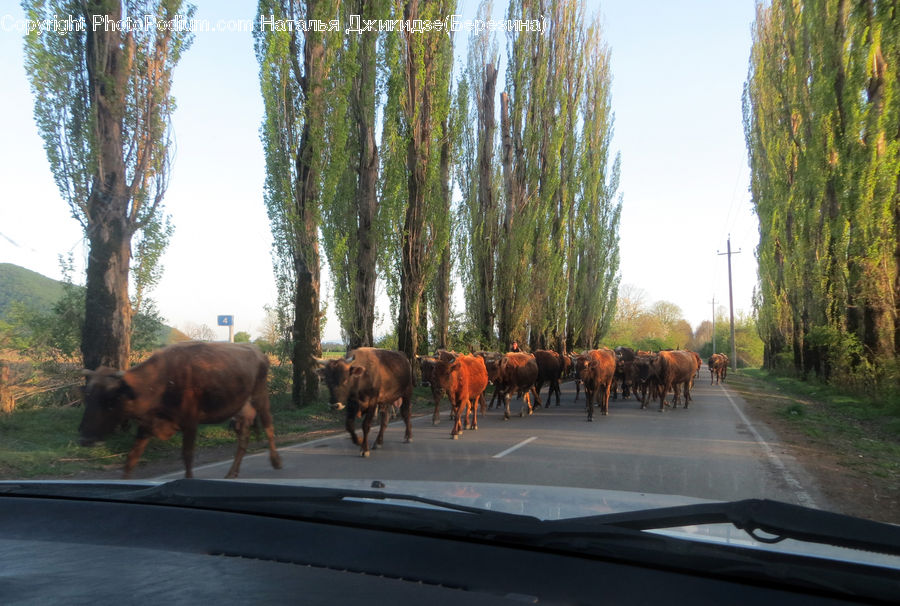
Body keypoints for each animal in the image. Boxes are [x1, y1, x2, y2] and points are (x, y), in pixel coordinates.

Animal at [77, 342, 282, 480]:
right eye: (87, 396)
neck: (160, 382)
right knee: (243, 440)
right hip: (240, 412)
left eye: (111, 399)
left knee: (269, 426)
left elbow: (188, 456)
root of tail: (258, 352)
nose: (85, 439)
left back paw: (276, 461)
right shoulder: (146, 426)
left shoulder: (190, 422)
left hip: (260, 397)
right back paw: (232, 473)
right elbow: (131, 458)